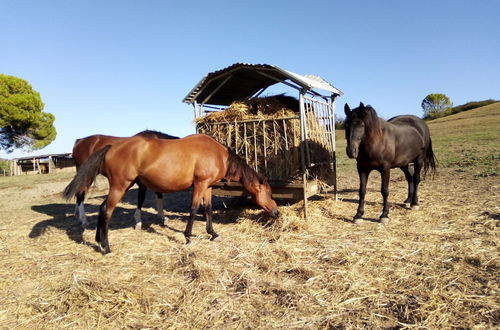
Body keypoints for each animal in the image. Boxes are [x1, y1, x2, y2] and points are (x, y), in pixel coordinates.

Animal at [63, 133, 280, 254]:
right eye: (269, 193)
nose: (276, 212)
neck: (217, 154)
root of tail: (110, 147)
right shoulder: (200, 184)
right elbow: (194, 210)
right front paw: (188, 237)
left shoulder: (208, 187)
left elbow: (208, 210)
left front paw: (212, 233)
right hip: (120, 186)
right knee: (106, 210)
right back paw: (106, 247)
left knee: (102, 209)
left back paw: (99, 241)